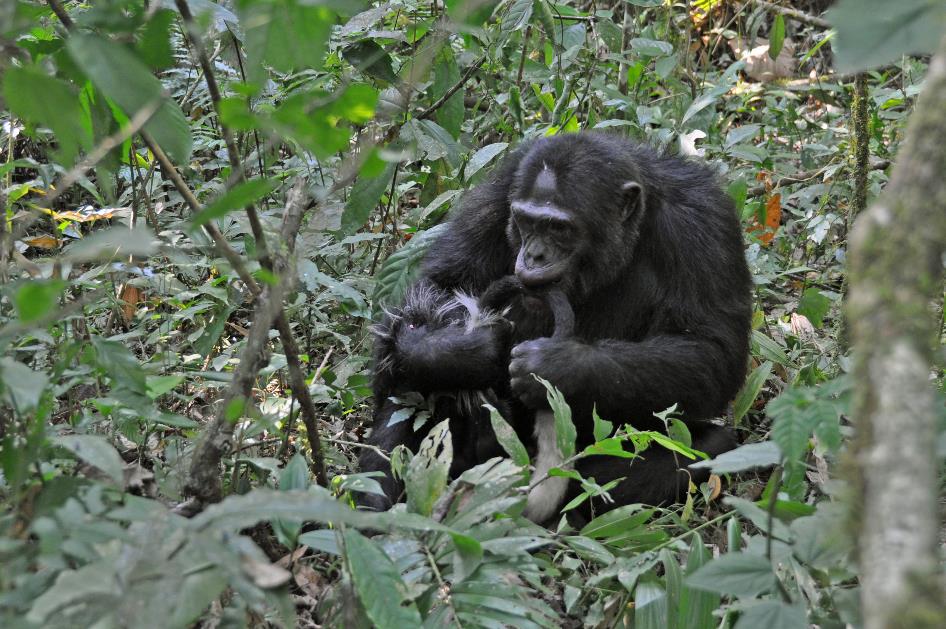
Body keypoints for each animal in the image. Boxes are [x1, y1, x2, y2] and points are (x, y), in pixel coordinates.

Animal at [358, 130, 748, 516]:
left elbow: (709, 350)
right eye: (527, 222)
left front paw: (556, 367)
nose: (534, 254)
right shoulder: (498, 193)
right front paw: (468, 351)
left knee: (712, 445)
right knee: (407, 380)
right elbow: (443, 283)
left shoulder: (703, 221)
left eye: (559, 228)